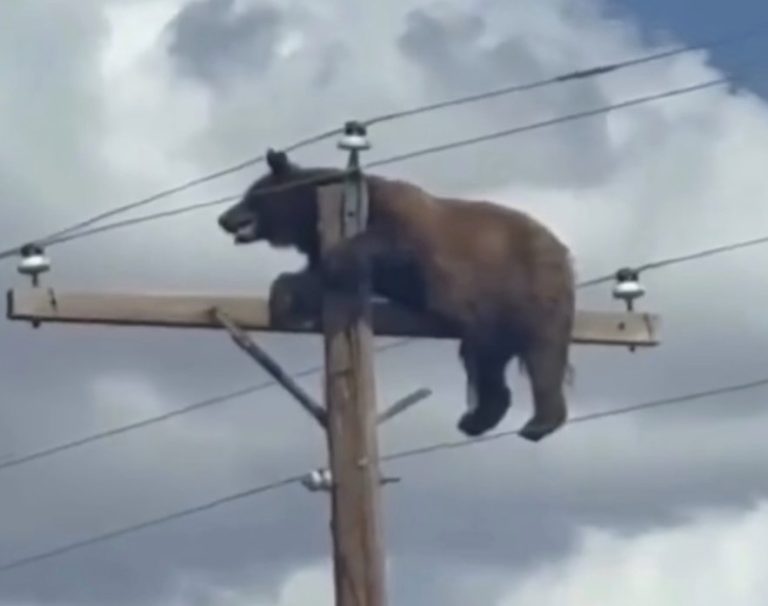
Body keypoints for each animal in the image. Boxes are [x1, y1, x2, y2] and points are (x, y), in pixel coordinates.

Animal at [217, 148, 575, 442]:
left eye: (251, 195)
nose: (223, 218)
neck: (310, 216)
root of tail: (562, 249)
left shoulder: (400, 221)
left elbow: (384, 245)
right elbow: (317, 277)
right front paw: (285, 299)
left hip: (530, 284)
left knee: (543, 352)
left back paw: (539, 422)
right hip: (492, 315)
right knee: (486, 359)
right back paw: (477, 419)